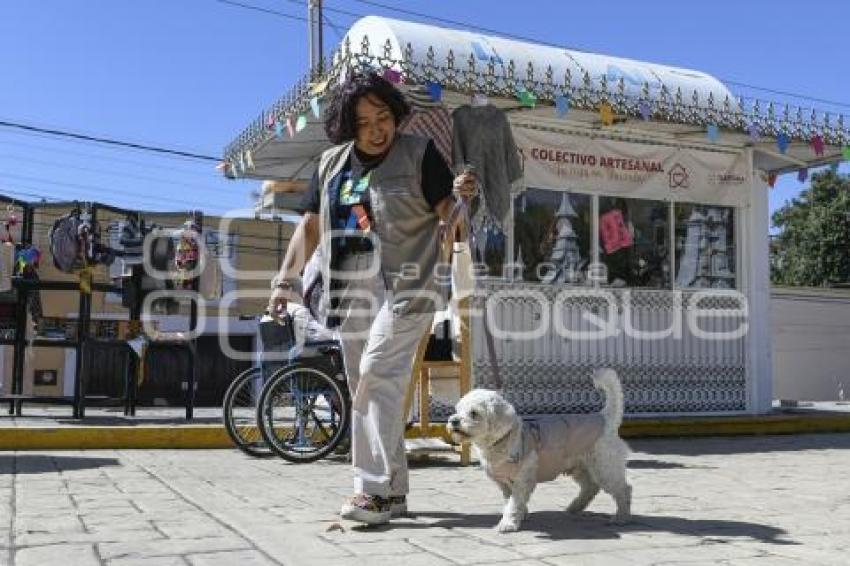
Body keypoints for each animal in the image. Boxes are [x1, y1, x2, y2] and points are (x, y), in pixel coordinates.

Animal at [448, 370, 628, 536]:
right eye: (458, 410)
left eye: (474, 413)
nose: (453, 421)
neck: (503, 440)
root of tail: (604, 418)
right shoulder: (504, 483)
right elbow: (510, 500)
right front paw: (521, 515)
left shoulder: (522, 479)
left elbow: (514, 503)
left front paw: (508, 524)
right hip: (580, 467)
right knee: (591, 487)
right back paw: (575, 507)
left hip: (605, 466)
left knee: (624, 489)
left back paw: (621, 517)